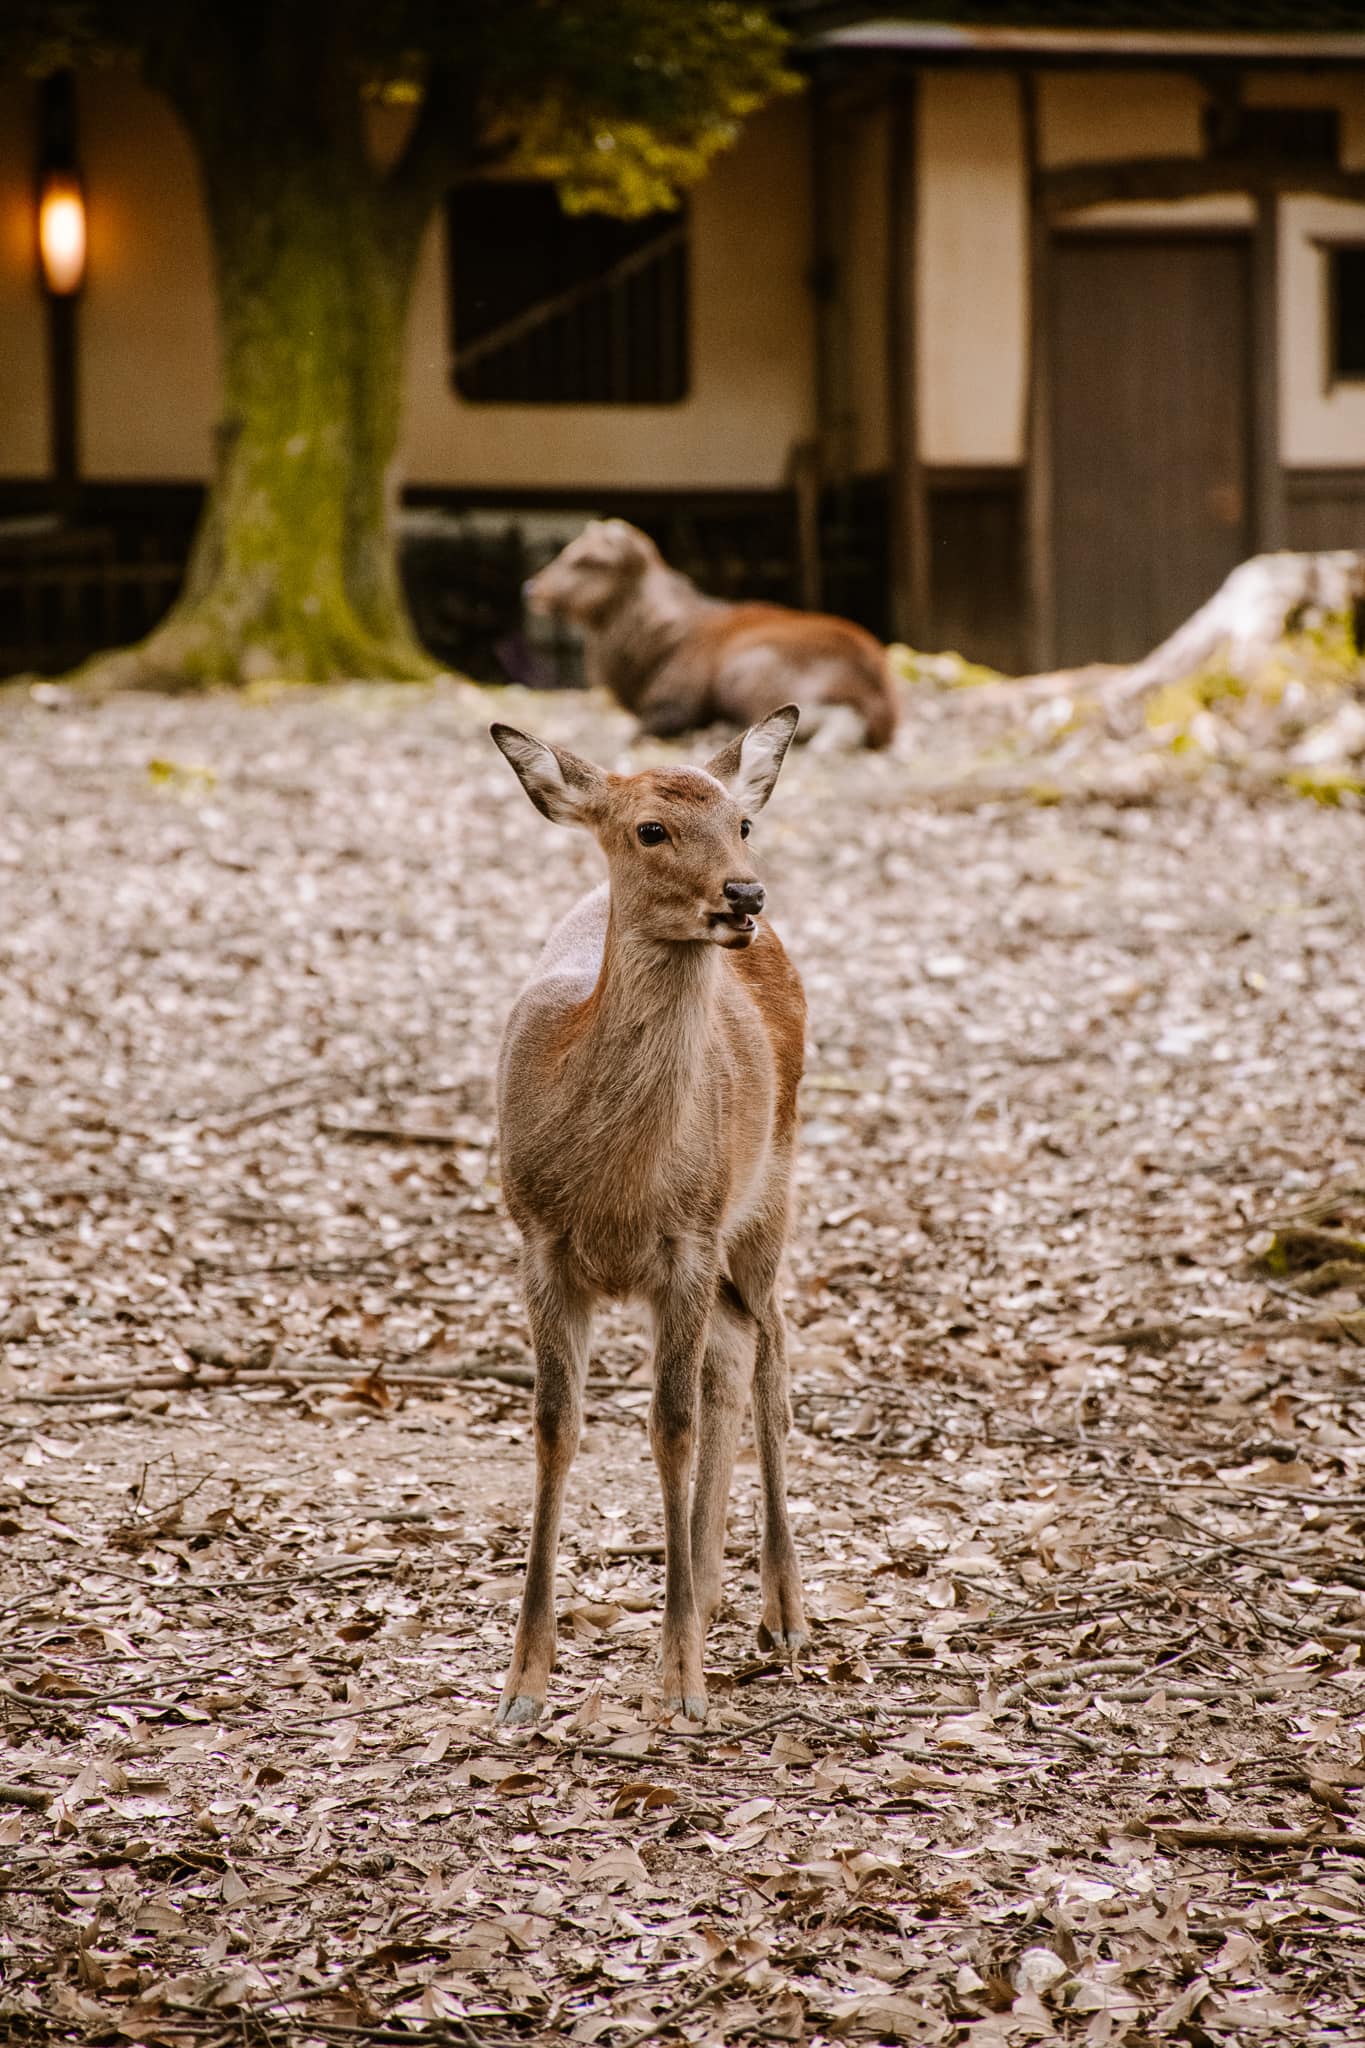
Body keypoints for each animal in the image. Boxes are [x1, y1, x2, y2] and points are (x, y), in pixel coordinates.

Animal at [491, 712, 810, 1720]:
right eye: (649, 830)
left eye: (741, 821)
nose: (744, 893)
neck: (617, 1191)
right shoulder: (538, 1242)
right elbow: (556, 1425)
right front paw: (524, 1682)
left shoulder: (689, 1238)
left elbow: (667, 1425)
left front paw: (679, 1682)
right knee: (733, 1353)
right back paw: (706, 1593)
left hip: (767, 1189)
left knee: (770, 1358)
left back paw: (781, 1614)